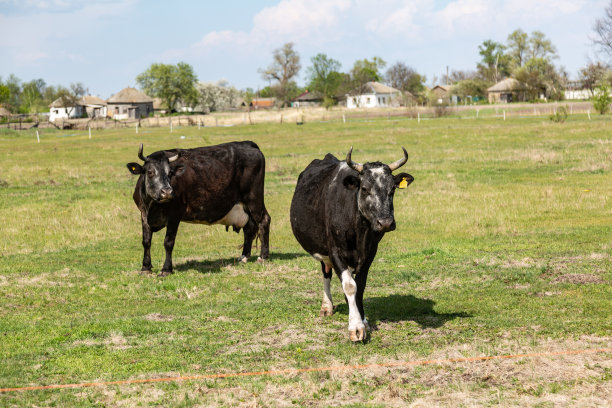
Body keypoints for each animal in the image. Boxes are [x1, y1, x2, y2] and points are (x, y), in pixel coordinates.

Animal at [126, 142, 270, 276]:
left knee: (264, 220)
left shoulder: (175, 215)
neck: (153, 206)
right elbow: (146, 241)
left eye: (170, 173)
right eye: (150, 172)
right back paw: (244, 256)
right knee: (249, 227)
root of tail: (247, 144)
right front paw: (145, 267)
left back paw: (263, 256)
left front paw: (166, 269)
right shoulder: (144, 215)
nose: (167, 192)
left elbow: (168, 242)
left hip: (254, 198)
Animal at [290, 147, 414, 342]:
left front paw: (363, 321)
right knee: (326, 273)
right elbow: (349, 285)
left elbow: (360, 286)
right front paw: (355, 327)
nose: (385, 222)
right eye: (364, 188)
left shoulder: (370, 252)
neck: (359, 231)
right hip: (323, 250)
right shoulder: (335, 251)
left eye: (392, 189)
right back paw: (327, 306)